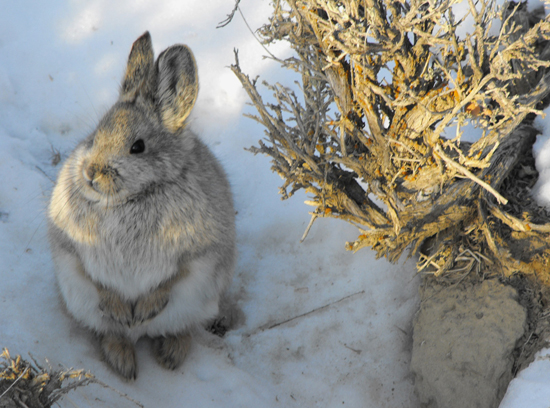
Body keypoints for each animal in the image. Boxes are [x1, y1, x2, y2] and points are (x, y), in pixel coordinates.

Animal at [48, 31, 236, 380]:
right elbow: (98, 281)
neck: (129, 199)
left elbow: (172, 279)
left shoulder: (198, 253)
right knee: (111, 331)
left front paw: (145, 308)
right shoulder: (73, 251)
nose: (90, 173)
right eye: (96, 135)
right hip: (80, 300)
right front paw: (123, 311)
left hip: (200, 300)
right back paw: (123, 360)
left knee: (179, 327)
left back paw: (170, 354)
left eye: (138, 147)